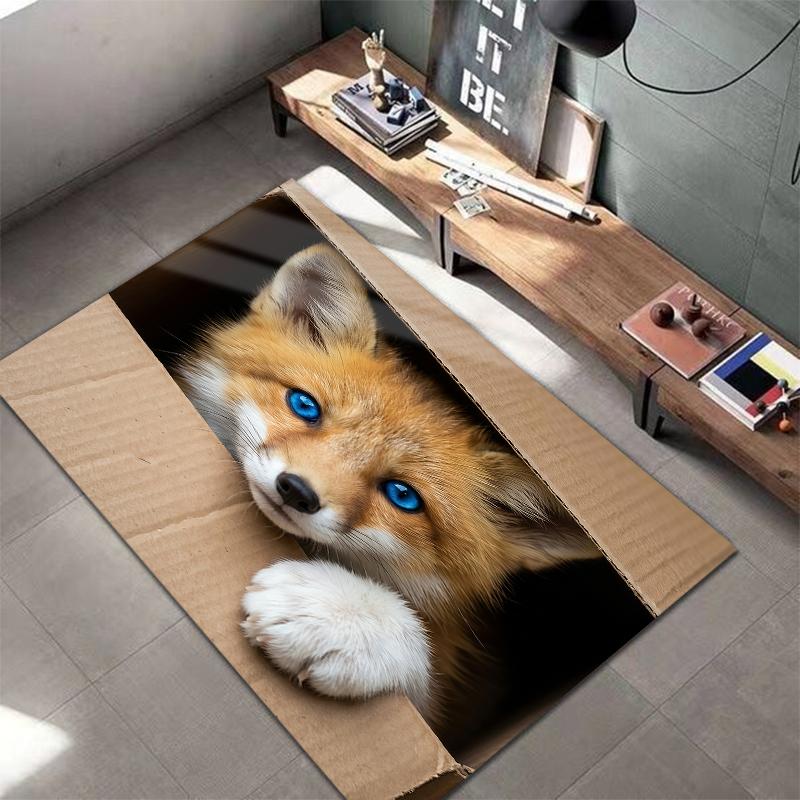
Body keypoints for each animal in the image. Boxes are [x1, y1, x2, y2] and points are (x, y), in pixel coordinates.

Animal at [179, 243, 601, 729]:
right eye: (304, 406)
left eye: (403, 495)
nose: (297, 490)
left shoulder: (440, 703)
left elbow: (419, 655)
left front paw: (342, 615)